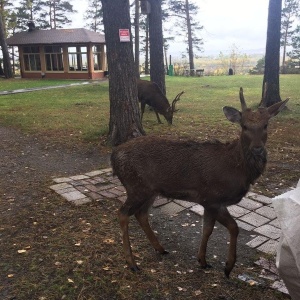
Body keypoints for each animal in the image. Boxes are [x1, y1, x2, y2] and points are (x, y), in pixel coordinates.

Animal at [111, 88, 290, 278]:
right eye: (244, 126)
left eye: (266, 125)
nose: (257, 149)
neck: (236, 169)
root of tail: (113, 156)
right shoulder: (211, 198)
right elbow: (214, 229)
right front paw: (210, 262)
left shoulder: (215, 202)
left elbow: (227, 228)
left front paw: (222, 265)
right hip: (136, 186)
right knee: (123, 213)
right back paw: (132, 263)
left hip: (150, 190)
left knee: (141, 214)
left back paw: (160, 248)